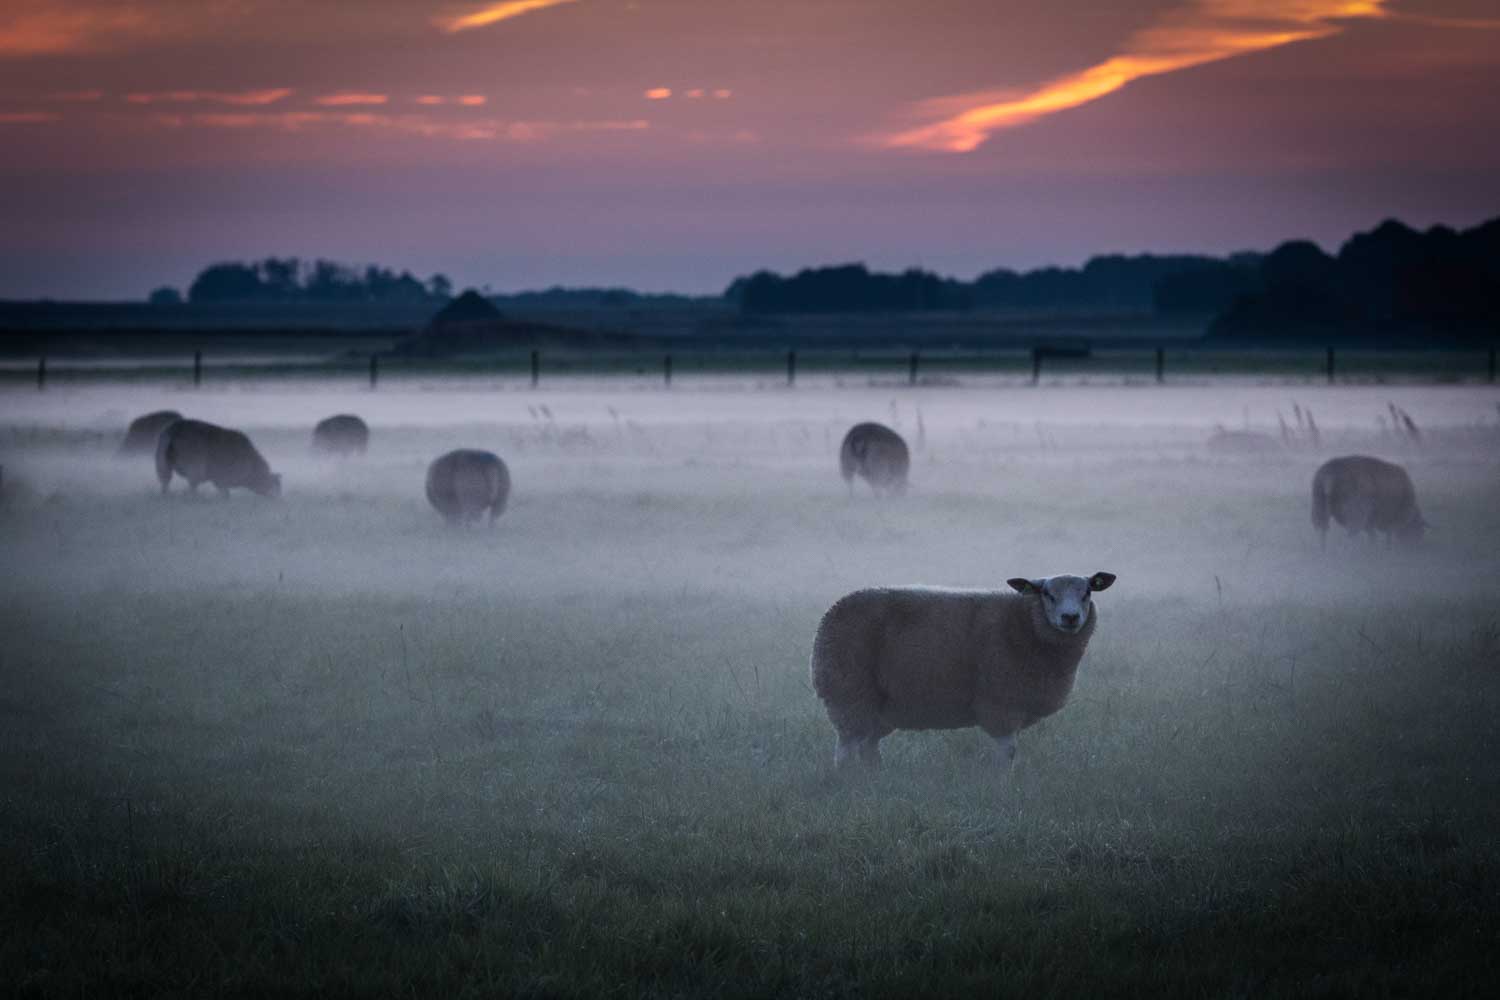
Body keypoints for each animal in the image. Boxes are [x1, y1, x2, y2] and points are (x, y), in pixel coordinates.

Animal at [811, 572, 1115, 774]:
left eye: (1087, 593)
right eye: (1048, 594)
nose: (1070, 617)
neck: (1024, 623)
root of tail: (830, 613)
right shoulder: (1000, 702)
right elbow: (1008, 751)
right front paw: (1002, 784)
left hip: (878, 705)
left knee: (868, 745)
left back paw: (875, 776)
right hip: (849, 691)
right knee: (846, 748)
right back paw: (848, 779)